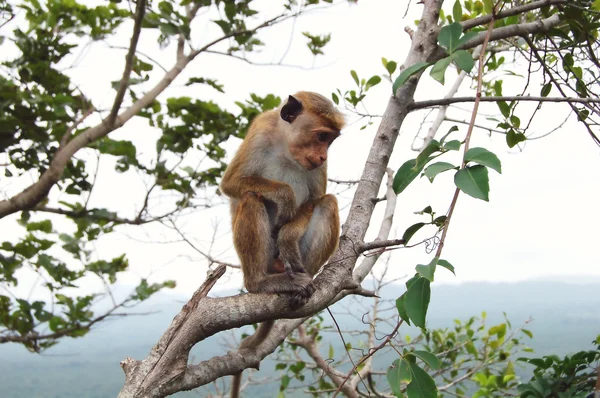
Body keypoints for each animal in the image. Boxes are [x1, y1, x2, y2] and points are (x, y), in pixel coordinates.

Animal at [219, 91, 342, 398]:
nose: (323, 155)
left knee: (328, 203)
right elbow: (232, 183)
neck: (287, 147)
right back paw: (260, 283)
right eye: (321, 136)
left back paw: (300, 283)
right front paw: (284, 196)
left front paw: (287, 236)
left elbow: (314, 201)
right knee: (251, 197)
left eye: (330, 141)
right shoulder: (260, 133)